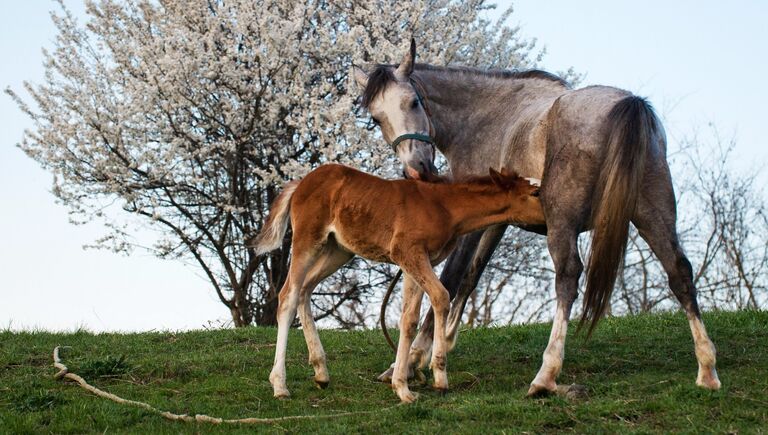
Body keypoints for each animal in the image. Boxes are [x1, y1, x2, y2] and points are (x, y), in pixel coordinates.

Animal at [254, 164, 544, 406]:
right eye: (535, 192)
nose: (550, 217)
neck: (445, 207)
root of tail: (300, 183)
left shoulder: (412, 262)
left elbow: (409, 319)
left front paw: (402, 387)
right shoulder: (408, 252)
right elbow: (441, 296)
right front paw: (439, 377)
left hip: (338, 250)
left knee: (305, 290)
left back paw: (321, 372)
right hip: (308, 239)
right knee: (288, 295)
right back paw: (280, 385)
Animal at [352, 39, 724, 396]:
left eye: (414, 102)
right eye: (376, 119)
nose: (417, 170)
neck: (490, 118)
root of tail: (628, 103)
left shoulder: (471, 222)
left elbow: (451, 277)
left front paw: (414, 359)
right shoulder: (495, 222)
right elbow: (472, 276)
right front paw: (441, 347)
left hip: (564, 222)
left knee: (568, 277)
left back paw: (546, 375)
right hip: (654, 214)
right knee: (679, 272)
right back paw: (707, 369)